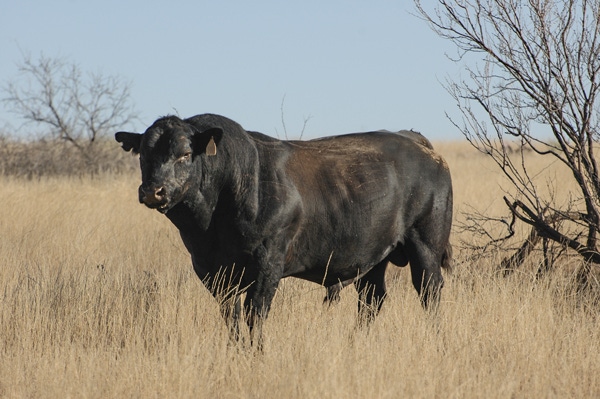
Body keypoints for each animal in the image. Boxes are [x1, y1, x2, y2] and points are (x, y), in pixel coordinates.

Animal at [115, 114, 452, 346]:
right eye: (144, 154)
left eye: (185, 154)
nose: (153, 190)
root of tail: (416, 141)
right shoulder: (212, 270)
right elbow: (231, 316)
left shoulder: (268, 263)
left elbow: (255, 313)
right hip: (374, 257)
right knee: (372, 299)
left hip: (425, 244)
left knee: (429, 292)